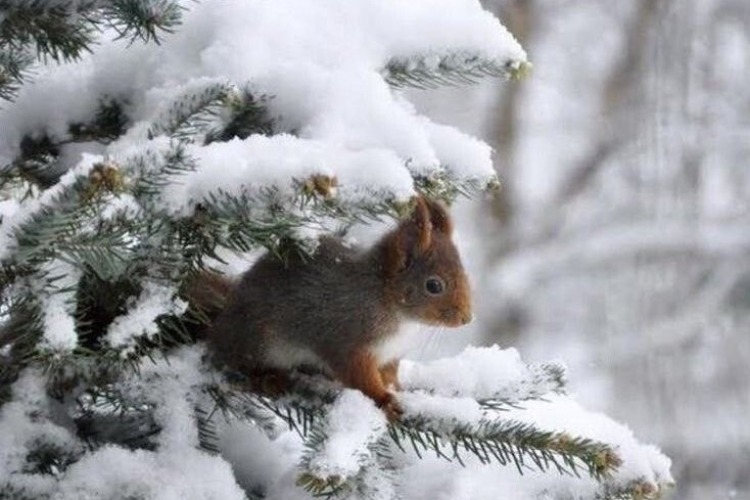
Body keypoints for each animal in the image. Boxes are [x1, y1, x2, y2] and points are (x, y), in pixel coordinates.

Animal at [188, 195, 472, 418]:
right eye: (433, 285)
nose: (467, 319)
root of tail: (224, 316)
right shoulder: (347, 340)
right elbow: (359, 377)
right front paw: (385, 400)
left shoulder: (390, 353)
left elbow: (390, 374)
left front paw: (398, 390)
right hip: (258, 340)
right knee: (232, 359)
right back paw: (266, 378)